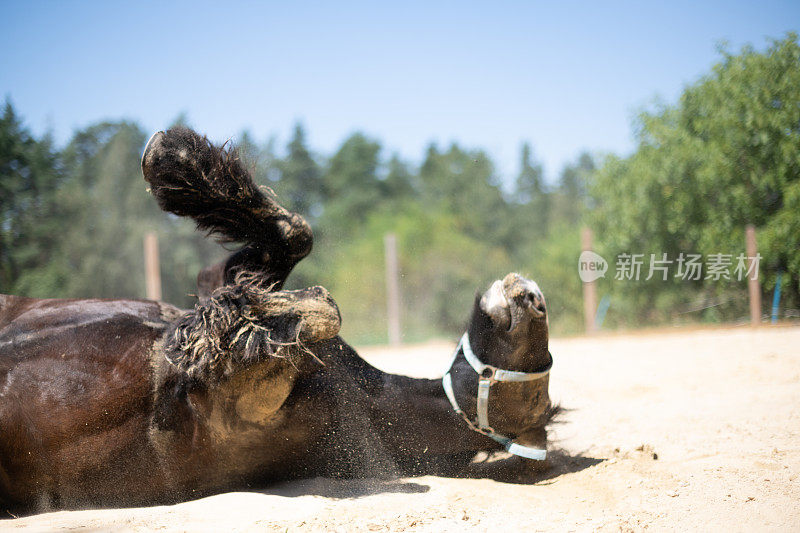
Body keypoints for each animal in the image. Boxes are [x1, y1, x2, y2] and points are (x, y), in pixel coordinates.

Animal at [0, 127, 552, 512]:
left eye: (536, 401)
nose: (531, 295)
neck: (360, 395)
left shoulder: (240, 408)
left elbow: (315, 310)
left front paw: (234, 327)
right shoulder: (214, 281)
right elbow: (293, 237)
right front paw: (178, 162)